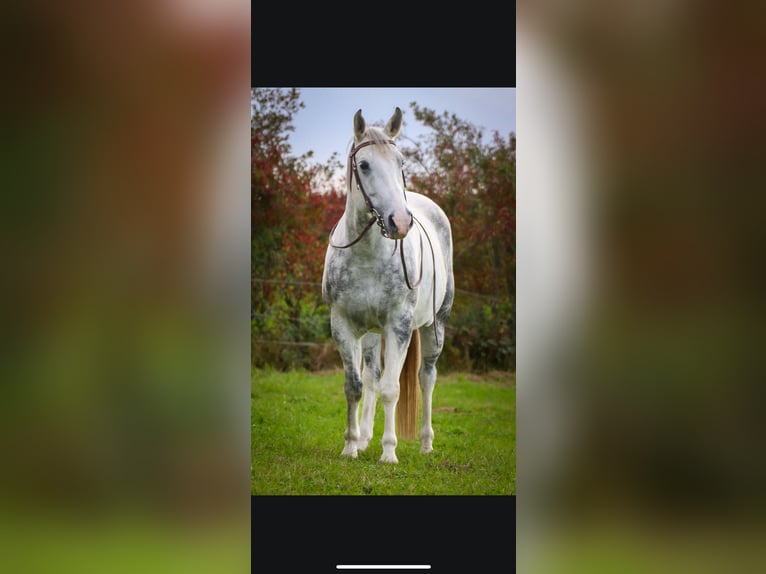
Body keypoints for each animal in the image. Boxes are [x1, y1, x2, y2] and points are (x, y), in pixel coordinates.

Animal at [321, 107, 454, 463]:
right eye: (364, 165)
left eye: (400, 162)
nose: (401, 222)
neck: (369, 254)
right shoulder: (343, 325)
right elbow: (354, 386)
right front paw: (350, 446)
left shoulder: (399, 325)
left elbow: (392, 390)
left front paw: (389, 453)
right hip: (370, 334)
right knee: (371, 377)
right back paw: (365, 438)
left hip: (435, 326)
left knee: (426, 379)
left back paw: (426, 443)